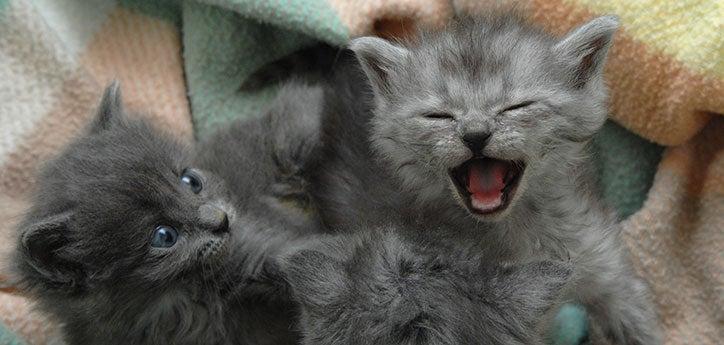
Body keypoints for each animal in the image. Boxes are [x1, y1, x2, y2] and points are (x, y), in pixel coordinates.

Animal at [312, 13, 660, 344]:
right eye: (439, 116)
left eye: (516, 107)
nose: (475, 134)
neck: (518, 228)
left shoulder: (604, 263)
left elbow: (633, 314)